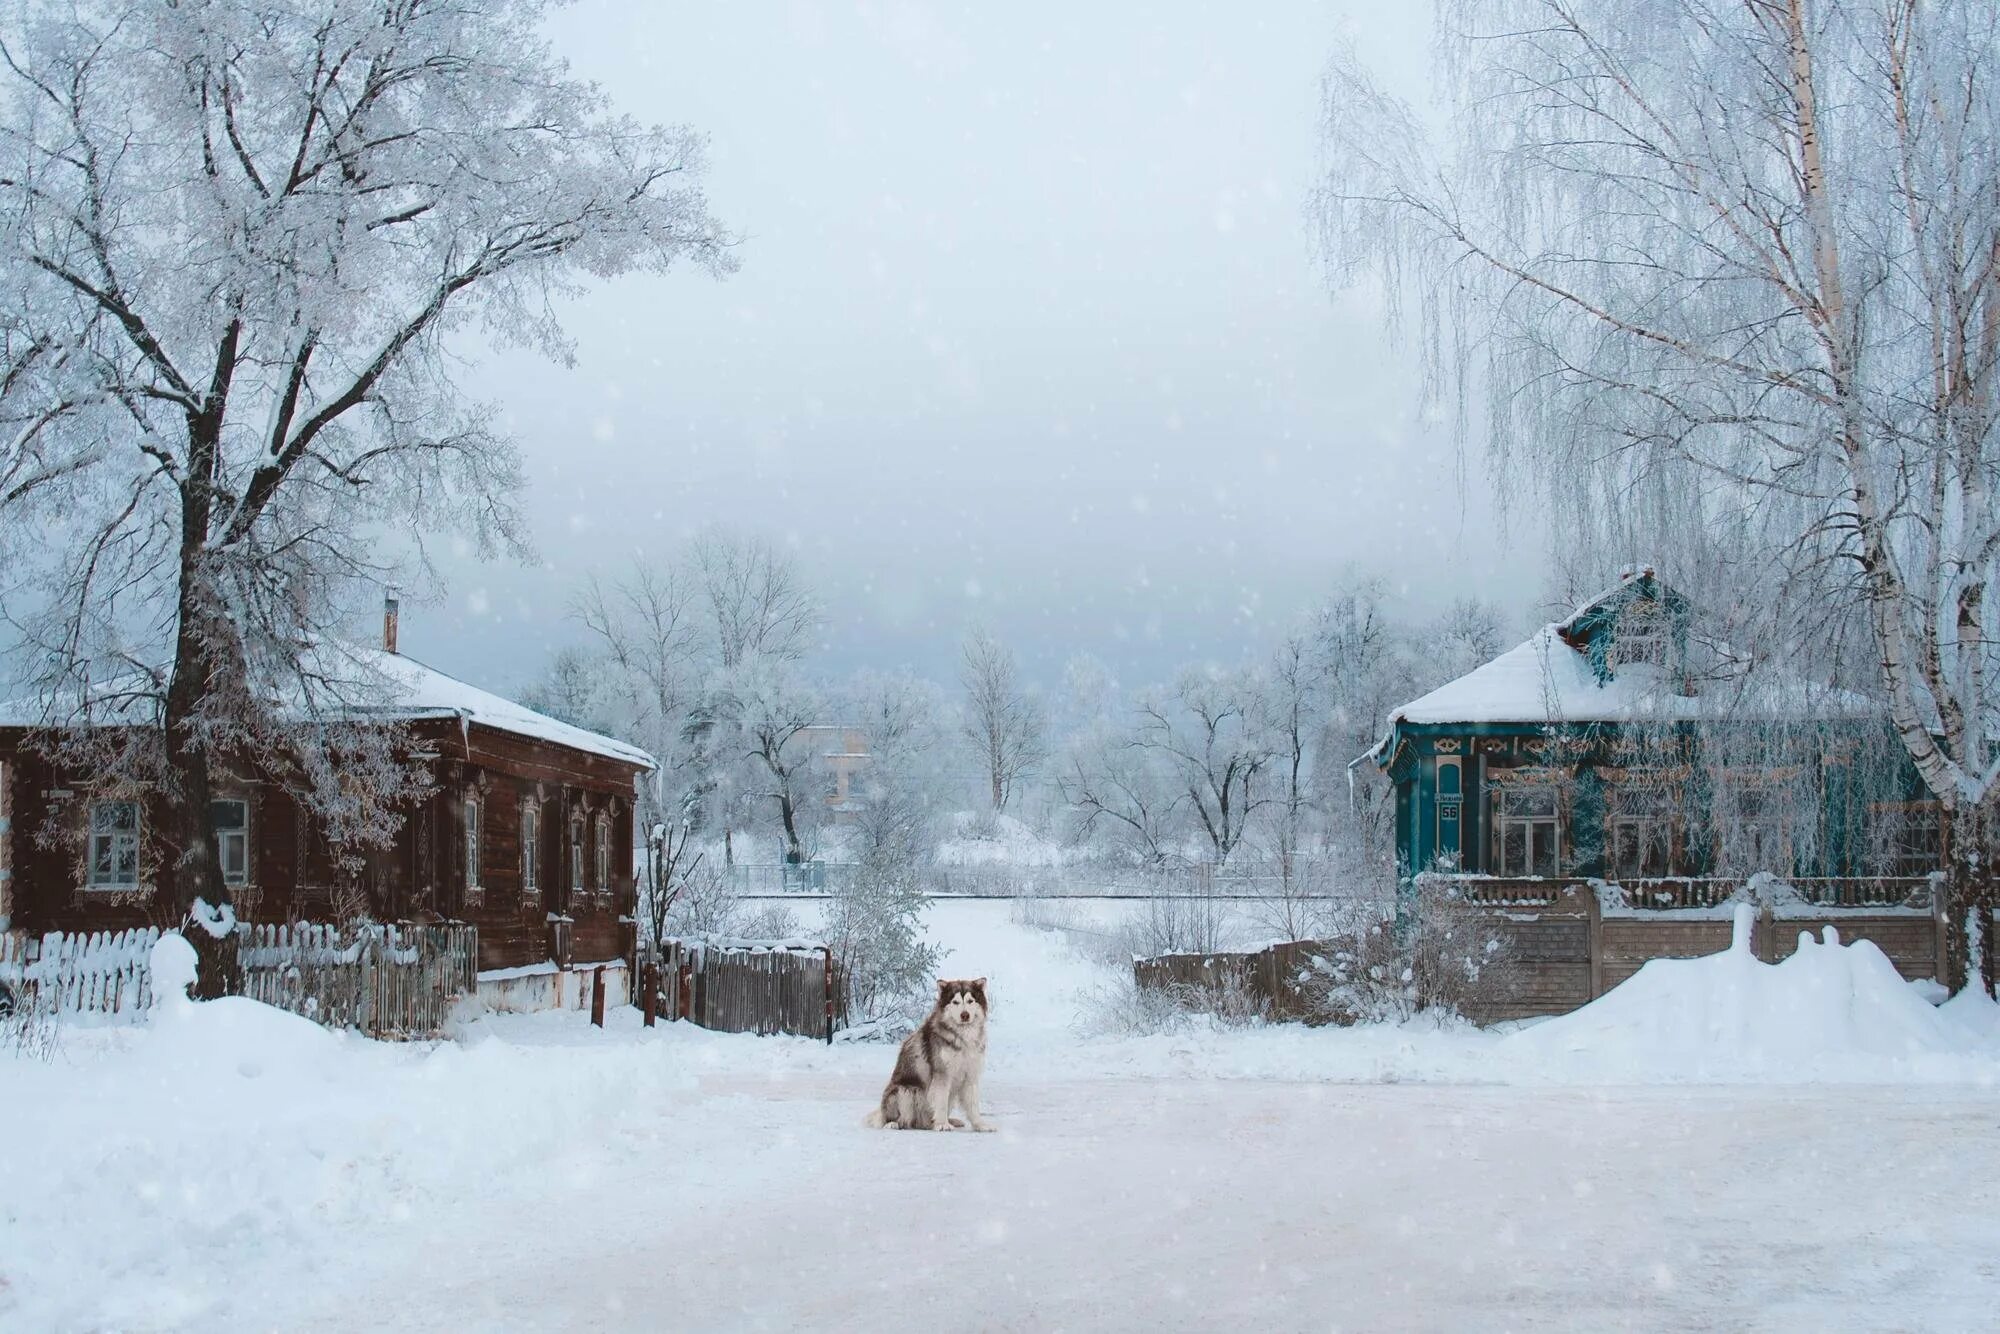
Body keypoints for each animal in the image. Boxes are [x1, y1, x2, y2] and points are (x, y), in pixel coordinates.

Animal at [864, 976, 996, 1136]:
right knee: (900, 1119)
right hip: (906, 1091)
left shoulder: (970, 1075)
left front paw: (980, 1125)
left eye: (971, 1001)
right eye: (955, 1002)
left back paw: (950, 1121)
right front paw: (942, 1124)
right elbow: (941, 1102)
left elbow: (973, 1105)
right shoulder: (942, 1074)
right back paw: (894, 1124)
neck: (962, 1037)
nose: (965, 1015)